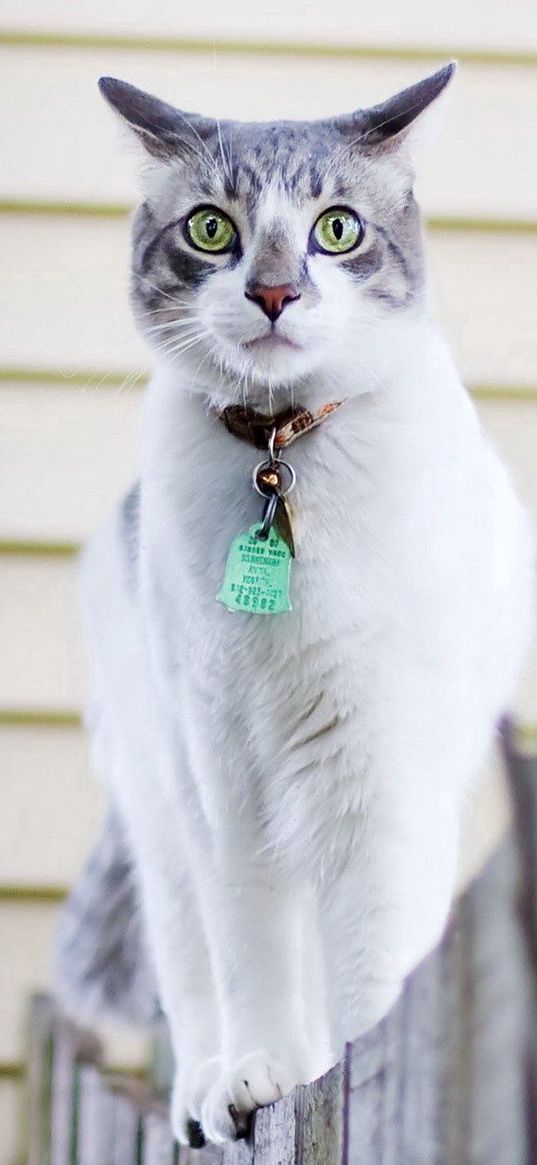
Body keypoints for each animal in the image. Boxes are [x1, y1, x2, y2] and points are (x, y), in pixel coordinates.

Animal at [54, 66, 531, 1146]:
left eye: (336, 230)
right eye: (212, 230)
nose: (274, 292)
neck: (281, 455)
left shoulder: (377, 772)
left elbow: (373, 961)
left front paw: (353, 1073)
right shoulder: (225, 773)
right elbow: (251, 952)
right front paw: (257, 1077)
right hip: (163, 804)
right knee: (194, 968)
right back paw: (202, 1092)